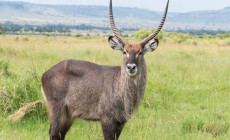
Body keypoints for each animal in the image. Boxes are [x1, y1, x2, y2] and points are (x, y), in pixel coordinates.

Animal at [41, 0, 169, 139]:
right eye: (124, 51)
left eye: (140, 52)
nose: (131, 67)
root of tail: (45, 73)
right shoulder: (106, 119)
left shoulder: (121, 122)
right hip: (56, 109)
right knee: (53, 132)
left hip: (68, 115)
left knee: (60, 134)